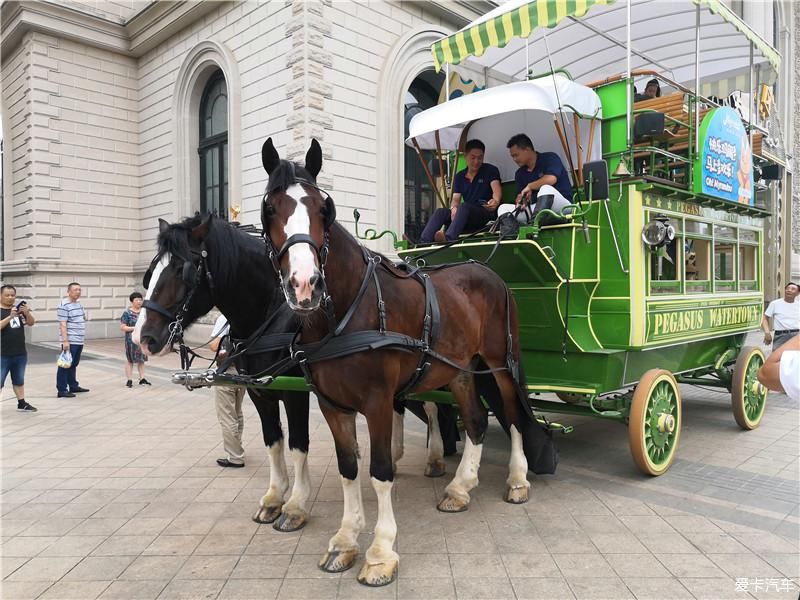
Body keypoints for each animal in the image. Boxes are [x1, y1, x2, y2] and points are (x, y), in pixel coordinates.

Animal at [262, 139, 556, 584]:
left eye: (323, 209)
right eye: (269, 208)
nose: (304, 285)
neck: (349, 310)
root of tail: (489, 272)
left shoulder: (380, 403)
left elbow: (381, 471)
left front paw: (381, 551)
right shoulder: (332, 405)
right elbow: (349, 468)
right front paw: (346, 539)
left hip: (500, 365)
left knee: (514, 416)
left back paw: (518, 480)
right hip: (461, 370)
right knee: (475, 421)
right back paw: (460, 487)